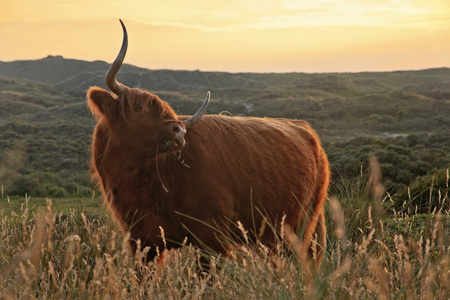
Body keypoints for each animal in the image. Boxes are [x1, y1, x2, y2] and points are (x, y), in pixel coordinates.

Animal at [88, 19, 330, 266]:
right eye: (138, 107)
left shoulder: (211, 237)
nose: (179, 130)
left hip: (302, 226)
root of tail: (304, 128)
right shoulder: (142, 241)